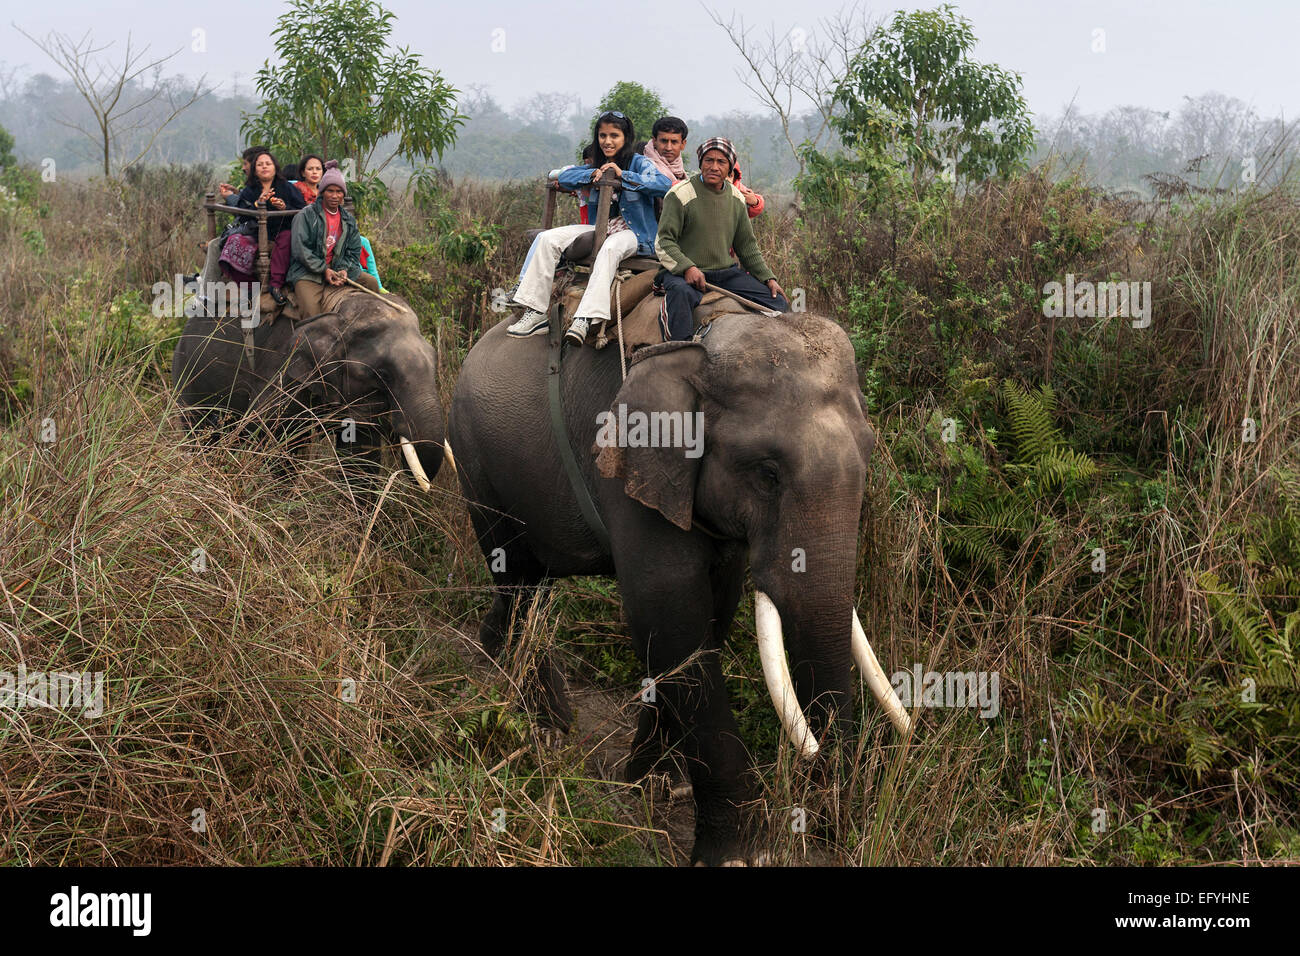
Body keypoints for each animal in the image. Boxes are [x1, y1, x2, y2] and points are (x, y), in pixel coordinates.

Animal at [172, 290, 449, 486]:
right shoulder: (282, 370)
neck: (337, 309)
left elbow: (360, 458)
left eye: (435, 360)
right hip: (187, 376)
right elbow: (270, 436)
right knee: (202, 434)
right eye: (382, 374)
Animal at [452, 308, 909, 868]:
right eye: (768, 474)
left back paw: (492, 657)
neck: (705, 341)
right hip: (476, 461)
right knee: (519, 579)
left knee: (521, 586)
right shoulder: (631, 463)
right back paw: (550, 728)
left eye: (869, 454)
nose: (828, 824)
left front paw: (656, 785)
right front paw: (739, 855)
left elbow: (711, 612)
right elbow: (669, 615)